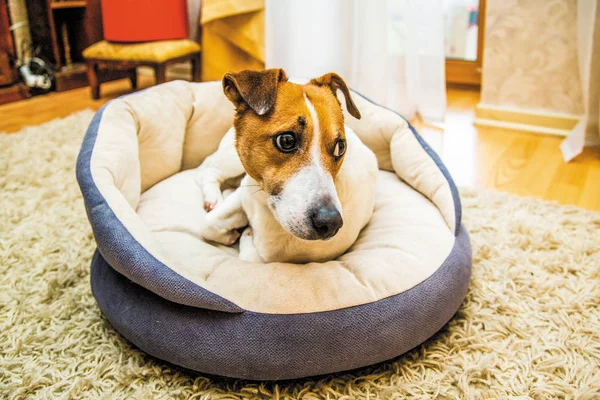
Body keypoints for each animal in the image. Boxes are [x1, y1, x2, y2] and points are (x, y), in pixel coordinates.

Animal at [196, 69, 376, 262]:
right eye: (287, 140)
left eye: (340, 147)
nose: (330, 222)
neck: (266, 207)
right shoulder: (246, 190)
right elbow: (208, 225)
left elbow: (244, 248)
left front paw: (243, 233)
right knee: (209, 169)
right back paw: (214, 197)